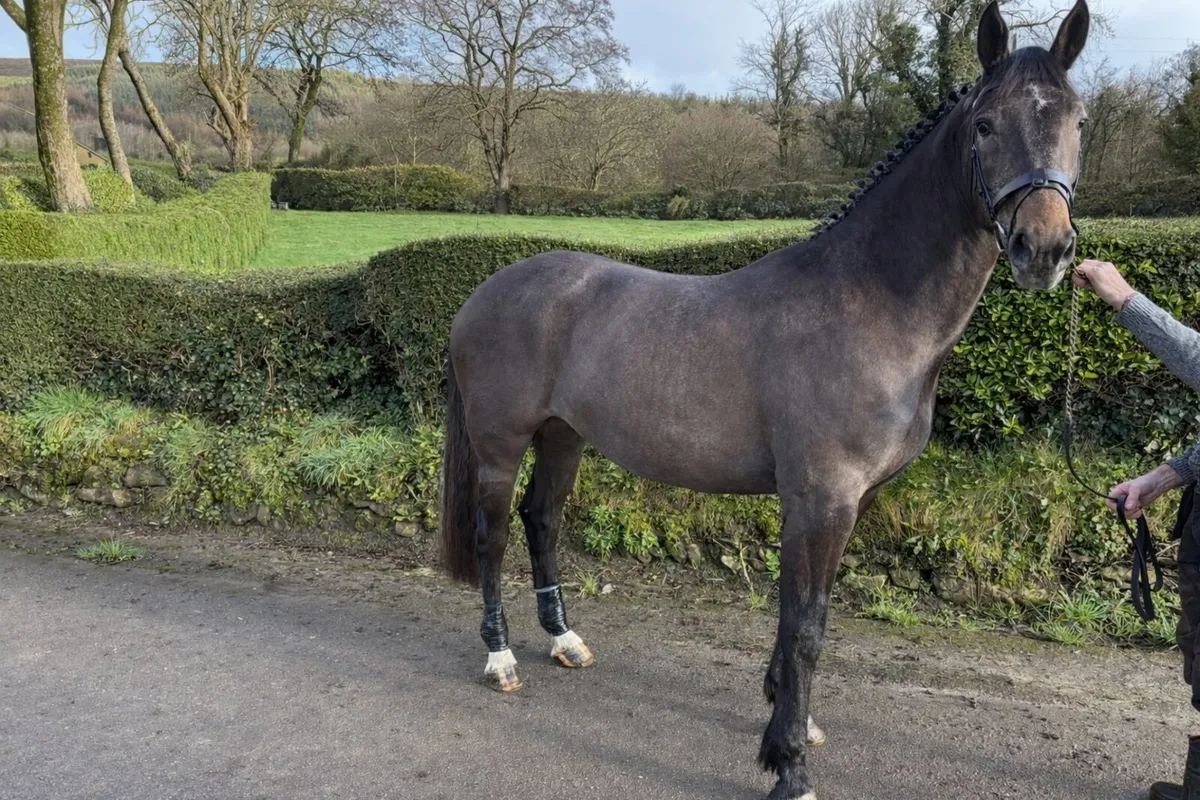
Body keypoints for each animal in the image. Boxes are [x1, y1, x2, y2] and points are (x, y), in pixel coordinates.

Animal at [439, 2, 1091, 796]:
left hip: (565, 436)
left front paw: (791, 723)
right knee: (494, 534)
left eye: (1080, 120)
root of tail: (483, 292)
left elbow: (799, 617)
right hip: (501, 443)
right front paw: (789, 764)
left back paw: (564, 641)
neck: (868, 304)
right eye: (987, 124)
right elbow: (805, 625)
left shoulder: (843, 502)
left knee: (543, 521)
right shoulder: (820, 498)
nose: (1045, 249)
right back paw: (500, 658)